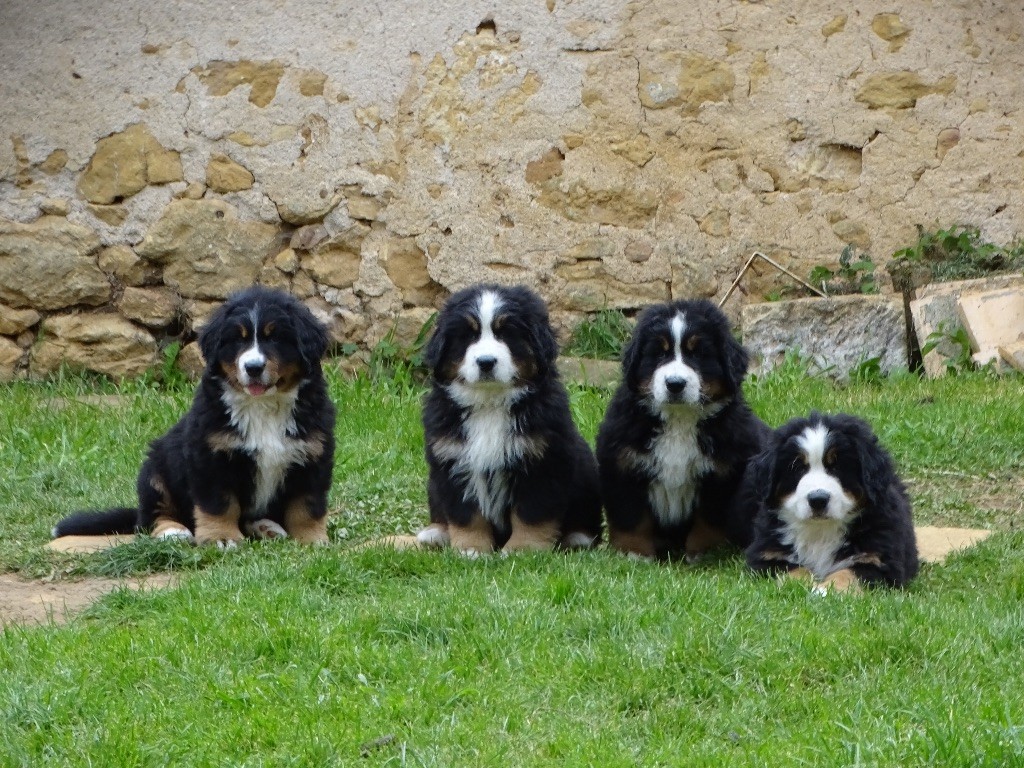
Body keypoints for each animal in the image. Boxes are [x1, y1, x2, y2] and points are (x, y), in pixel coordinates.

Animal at [51, 286, 333, 548]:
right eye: (238, 340)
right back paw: (173, 531)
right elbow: (219, 504)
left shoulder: (312, 455)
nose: (253, 368)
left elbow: (307, 506)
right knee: (151, 517)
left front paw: (312, 540)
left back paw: (266, 527)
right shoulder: (210, 456)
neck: (261, 406)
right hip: (156, 470)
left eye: (275, 339)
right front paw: (221, 538)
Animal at [417, 286, 602, 557]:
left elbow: (532, 514)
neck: (490, 405)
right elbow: (466, 515)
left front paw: (523, 549)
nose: (486, 362)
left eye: (506, 333)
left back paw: (578, 538)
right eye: (468, 336)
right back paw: (435, 533)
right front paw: (471, 549)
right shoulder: (452, 461)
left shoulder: (541, 463)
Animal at [593, 299, 770, 561]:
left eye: (698, 354)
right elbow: (631, 517)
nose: (675, 384)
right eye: (659, 353)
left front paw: (703, 553)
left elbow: (708, 522)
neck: (679, 420)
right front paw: (634, 554)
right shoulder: (623, 465)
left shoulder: (722, 474)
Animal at [741, 411, 917, 593]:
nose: (818, 500)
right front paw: (801, 586)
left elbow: (847, 574)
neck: (820, 531)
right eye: (797, 467)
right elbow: (795, 570)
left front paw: (824, 590)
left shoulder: (877, 560)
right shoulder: (768, 555)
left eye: (838, 467)